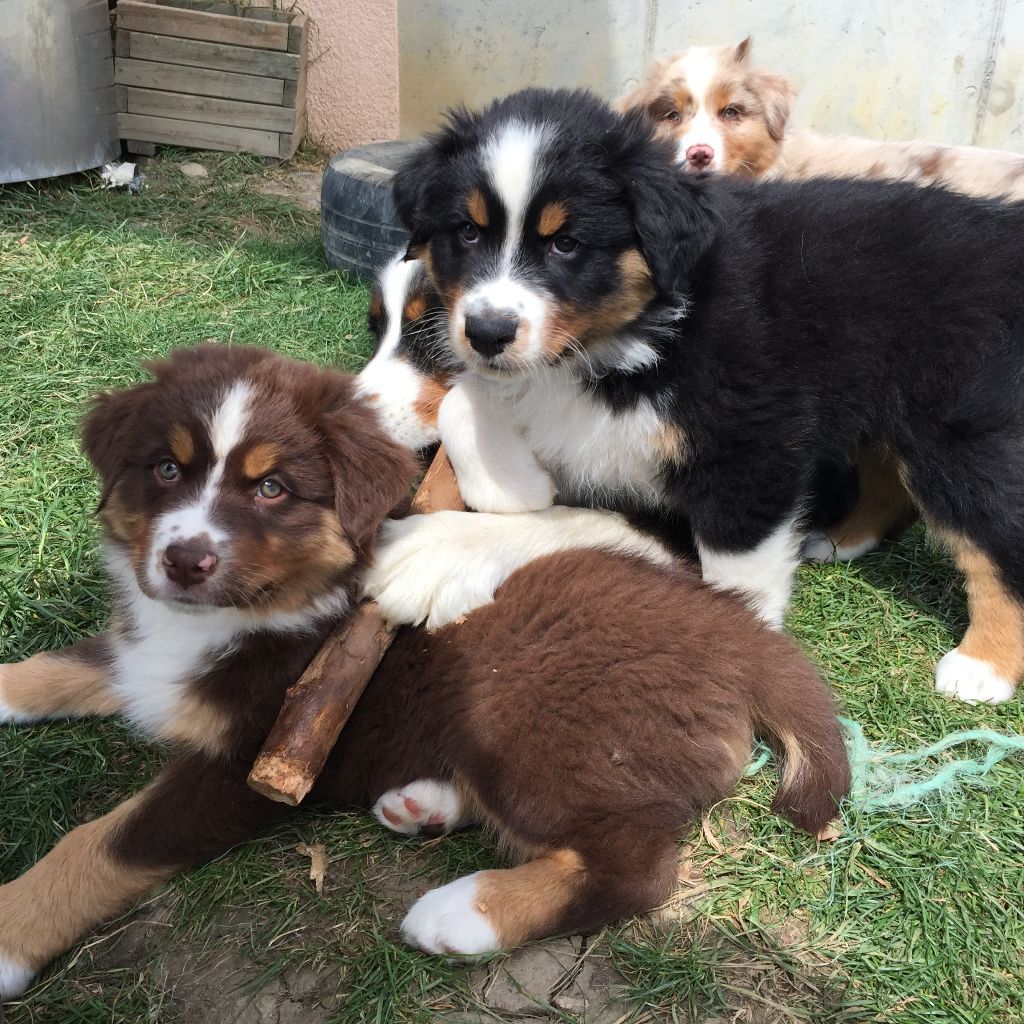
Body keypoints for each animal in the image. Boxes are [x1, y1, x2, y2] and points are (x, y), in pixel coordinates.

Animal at [0, 344, 849, 999]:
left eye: (273, 489)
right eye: (166, 470)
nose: (184, 560)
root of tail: (737, 633)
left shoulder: (248, 765)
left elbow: (101, 844)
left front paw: (11, 932)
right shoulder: (141, 643)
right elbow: (79, 660)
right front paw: (12, 685)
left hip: (525, 718)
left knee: (638, 867)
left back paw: (465, 913)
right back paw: (424, 805)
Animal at [387, 86, 1024, 707]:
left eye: (566, 244)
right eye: (468, 232)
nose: (487, 332)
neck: (635, 339)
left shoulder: (748, 444)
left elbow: (736, 570)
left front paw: (747, 645)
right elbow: (465, 397)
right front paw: (512, 486)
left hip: (957, 422)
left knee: (995, 533)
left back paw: (983, 665)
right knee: (890, 481)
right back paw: (842, 539)